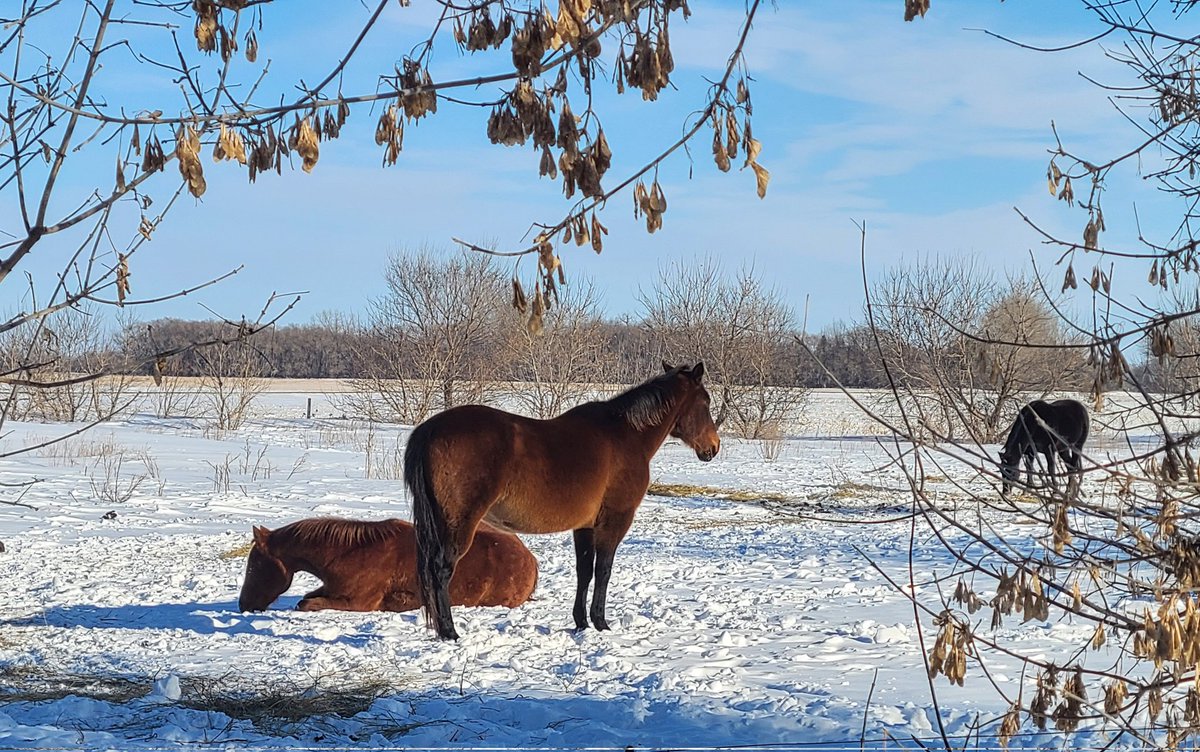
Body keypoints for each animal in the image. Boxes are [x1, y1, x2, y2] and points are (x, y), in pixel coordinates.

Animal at [237, 517, 538, 614]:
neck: (351, 553)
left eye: (256, 566)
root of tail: (530, 559)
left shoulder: (360, 602)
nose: (243, 604)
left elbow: (308, 603)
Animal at [405, 362, 720, 640]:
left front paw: (581, 622)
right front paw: (601, 622)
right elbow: (603, 571)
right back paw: (449, 632)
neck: (626, 435)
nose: (713, 448)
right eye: (705, 401)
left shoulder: (585, 526)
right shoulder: (614, 521)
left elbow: (584, 572)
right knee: (441, 570)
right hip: (459, 525)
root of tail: (430, 429)